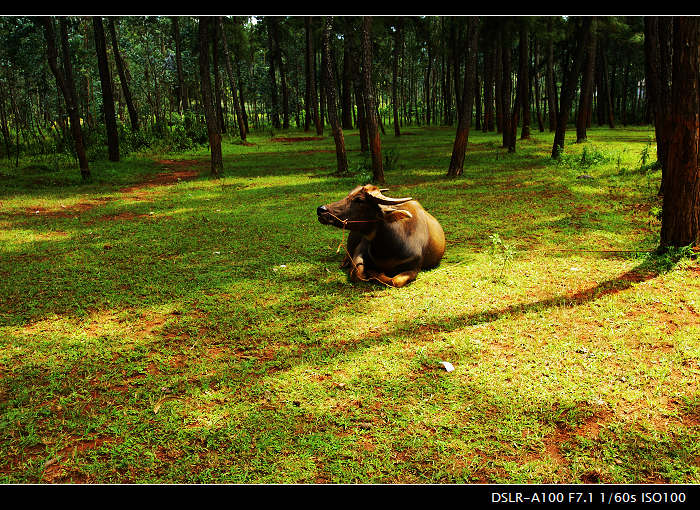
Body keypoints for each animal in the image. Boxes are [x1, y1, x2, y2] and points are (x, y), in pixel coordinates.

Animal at [316, 184, 446, 286]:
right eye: (348, 195)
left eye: (359, 200)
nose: (321, 209)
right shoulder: (360, 250)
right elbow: (358, 273)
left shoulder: (414, 268)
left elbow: (395, 281)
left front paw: (374, 272)